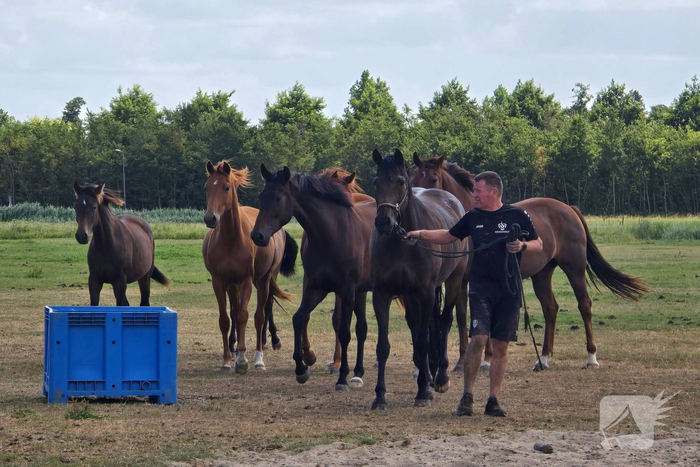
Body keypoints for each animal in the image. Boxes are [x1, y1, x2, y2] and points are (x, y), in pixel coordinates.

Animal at [202, 160, 298, 373]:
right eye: (207, 187)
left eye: (226, 187)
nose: (210, 218)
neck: (231, 239)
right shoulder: (220, 282)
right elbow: (226, 319)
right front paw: (227, 360)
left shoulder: (246, 280)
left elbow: (245, 315)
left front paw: (243, 360)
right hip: (235, 284)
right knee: (236, 312)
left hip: (266, 278)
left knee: (263, 312)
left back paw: (262, 352)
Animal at [251, 165, 375, 391]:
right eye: (261, 195)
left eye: (278, 197)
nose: (257, 236)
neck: (331, 234)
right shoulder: (316, 288)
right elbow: (299, 318)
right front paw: (302, 368)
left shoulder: (346, 290)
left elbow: (343, 331)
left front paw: (341, 377)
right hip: (361, 291)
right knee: (362, 328)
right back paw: (358, 373)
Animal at [370, 149, 468, 410]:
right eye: (376, 182)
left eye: (400, 182)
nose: (383, 222)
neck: (402, 243)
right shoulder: (382, 294)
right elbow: (384, 346)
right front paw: (380, 396)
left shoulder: (425, 293)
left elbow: (424, 341)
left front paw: (424, 391)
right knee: (418, 328)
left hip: (454, 282)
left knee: (444, 321)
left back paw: (440, 377)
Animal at [412, 155, 650, 370]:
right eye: (414, 177)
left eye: (433, 178)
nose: (421, 200)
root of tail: (569, 209)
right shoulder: (463, 280)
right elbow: (462, 316)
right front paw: (463, 361)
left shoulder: (466, 280)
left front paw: (486, 359)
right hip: (542, 274)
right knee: (550, 308)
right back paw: (543, 358)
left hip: (574, 269)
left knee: (584, 305)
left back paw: (591, 357)